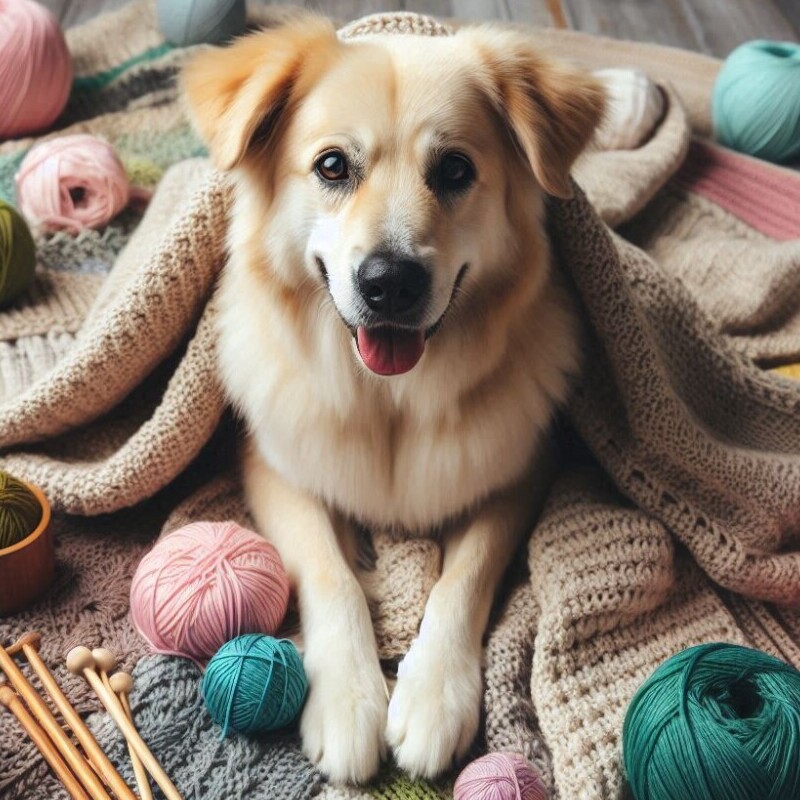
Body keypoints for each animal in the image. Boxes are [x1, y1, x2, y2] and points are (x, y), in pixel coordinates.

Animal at [183, 12, 608, 784]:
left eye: (456, 171)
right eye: (331, 166)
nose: (390, 283)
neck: (390, 402)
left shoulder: (517, 471)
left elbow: (461, 579)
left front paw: (433, 695)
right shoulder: (273, 466)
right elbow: (331, 574)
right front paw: (349, 699)